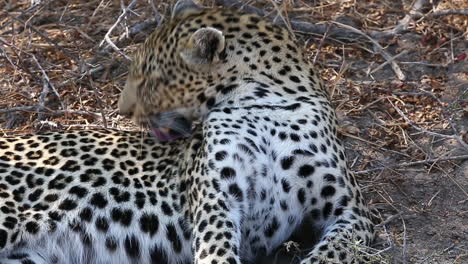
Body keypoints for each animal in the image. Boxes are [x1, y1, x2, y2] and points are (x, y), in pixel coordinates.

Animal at [0, 0, 372, 264]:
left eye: (150, 78)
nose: (122, 111)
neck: (262, 103)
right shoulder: (217, 198)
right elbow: (216, 250)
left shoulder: (352, 212)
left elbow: (332, 254)